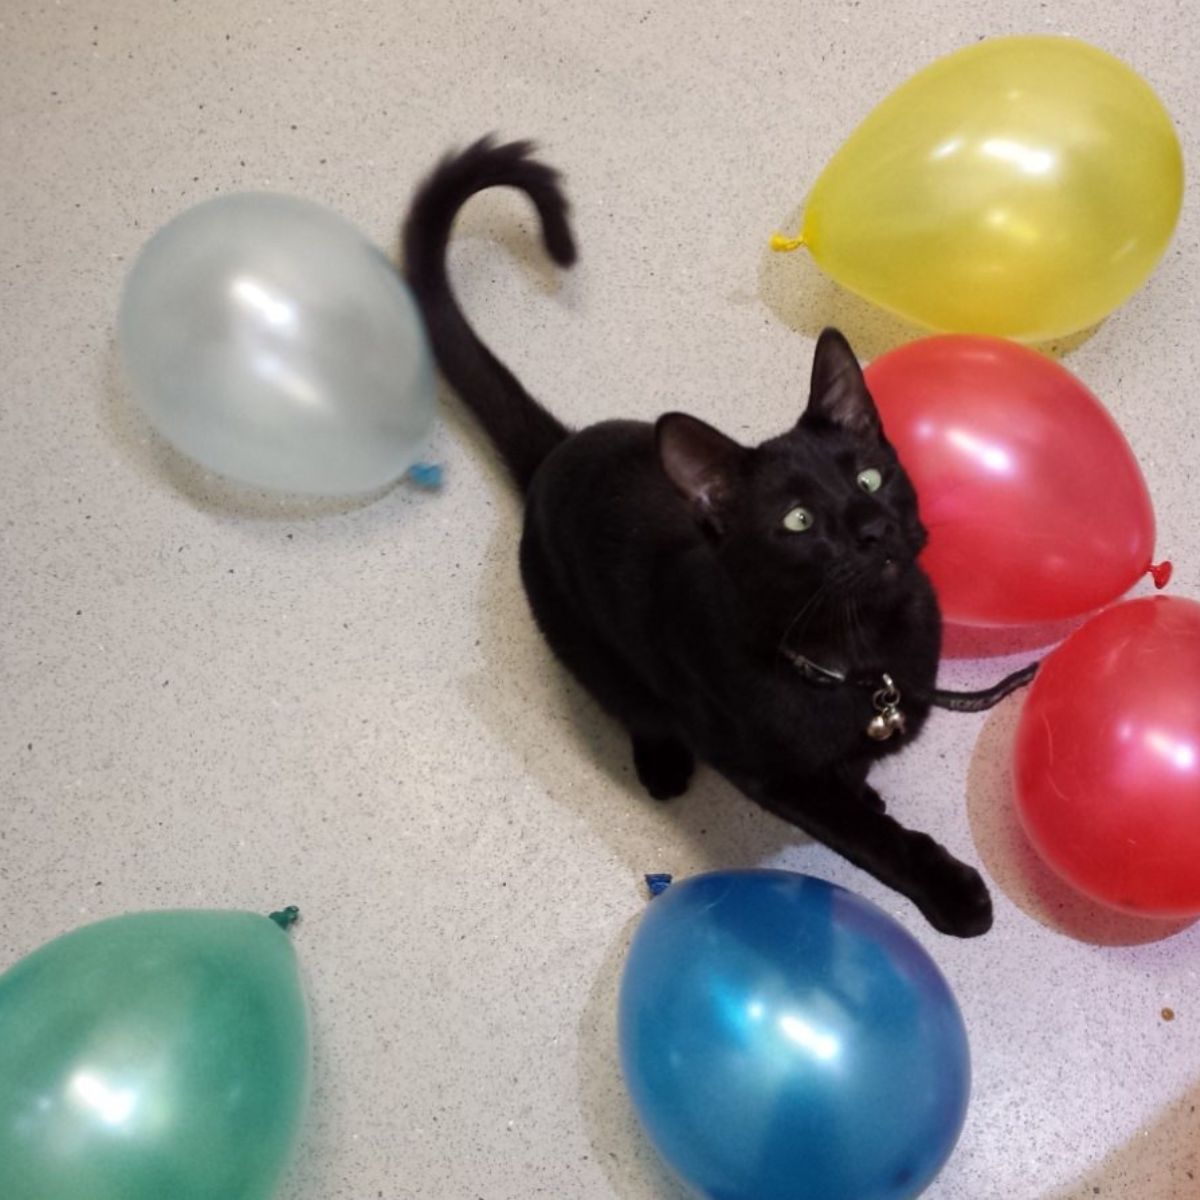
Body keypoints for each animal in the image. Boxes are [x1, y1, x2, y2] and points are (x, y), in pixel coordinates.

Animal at [403, 136, 993, 931]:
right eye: (798, 520)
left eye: (870, 478)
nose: (875, 529)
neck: (863, 657)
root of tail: (558, 450)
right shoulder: (773, 776)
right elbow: (870, 839)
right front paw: (949, 890)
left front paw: (867, 784)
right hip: (583, 636)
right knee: (629, 700)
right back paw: (662, 762)